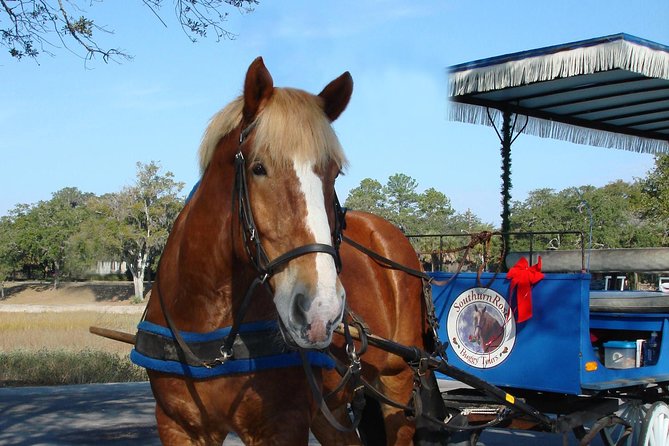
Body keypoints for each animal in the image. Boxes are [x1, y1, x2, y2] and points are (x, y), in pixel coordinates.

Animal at [136, 57, 438, 444]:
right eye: (258, 167)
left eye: (333, 173)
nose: (320, 310)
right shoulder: (178, 425)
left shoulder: (283, 424)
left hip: (397, 386)